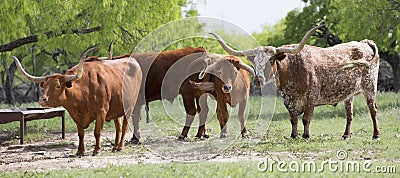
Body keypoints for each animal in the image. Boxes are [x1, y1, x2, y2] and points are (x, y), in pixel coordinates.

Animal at [12, 47, 142, 156]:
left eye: (58, 86)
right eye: (44, 86)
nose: (42, 99)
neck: (84, 91)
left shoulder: (101, 112)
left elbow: (97, 132)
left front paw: (97, 150)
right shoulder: (76, 115)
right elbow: (81, 134)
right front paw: (80, 151)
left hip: (130, 106)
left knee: (124, 126)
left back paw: (120, 147)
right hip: (117, 108)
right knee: (118, 127)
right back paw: (115, 147)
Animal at [209, 25, 382, 140]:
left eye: (271, 60)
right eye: (255, 61)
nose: (258, 80)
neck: (291, 70)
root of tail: (364, 42)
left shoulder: (311, 97)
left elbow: (306, 118)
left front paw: (305, 136)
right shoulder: (287, 99)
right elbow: (293, 118)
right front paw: (293, 135)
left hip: (370, 86)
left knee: (373, 110)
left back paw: (376, 135)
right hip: (349, 94)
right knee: (350, 114)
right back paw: (346, 135)